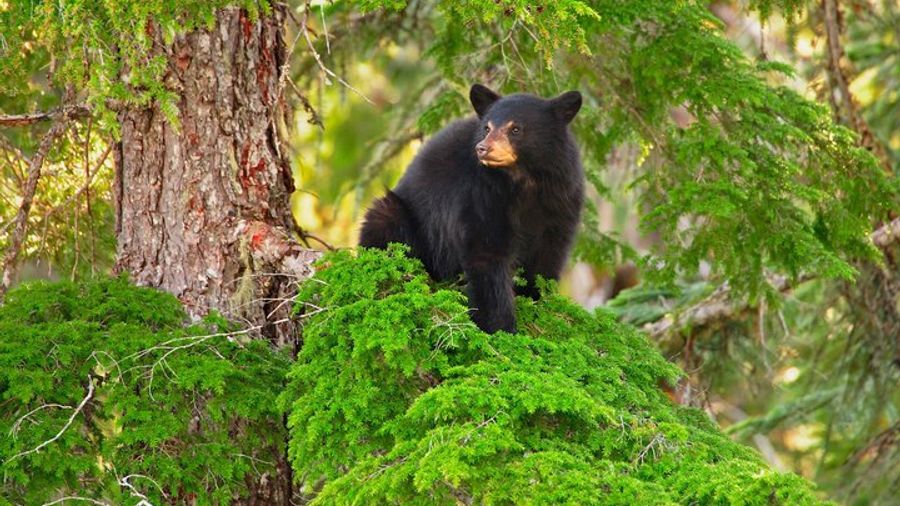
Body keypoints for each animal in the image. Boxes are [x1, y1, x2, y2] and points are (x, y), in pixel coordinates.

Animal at [359, 84, 584, 334]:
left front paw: (536, 302)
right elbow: (486, 253)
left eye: (515, 129)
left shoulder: (560, 201)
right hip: (402, 220)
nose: (482, 148)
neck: (523, 182)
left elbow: (547, 256)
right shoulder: (480, 195)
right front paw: (502, 328)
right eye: (487, 127)